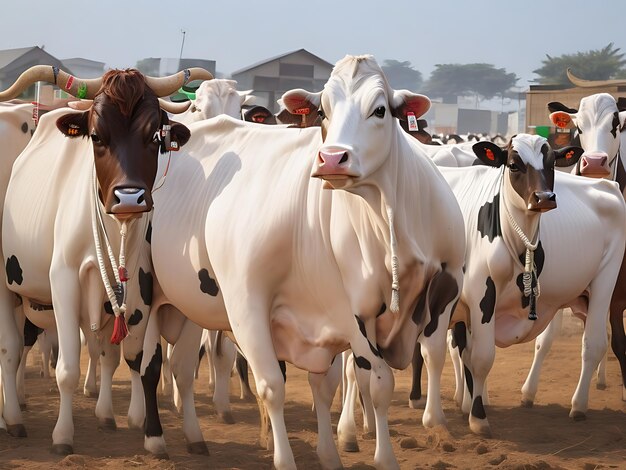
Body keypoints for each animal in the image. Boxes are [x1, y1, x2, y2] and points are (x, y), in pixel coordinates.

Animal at [144, 54, 460, 466]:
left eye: (379, 109)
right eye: (322, 111)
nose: (332, 158)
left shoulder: (429, 296)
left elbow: (348, 383)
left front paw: (336, 454)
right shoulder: (260, 307)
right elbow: (275, 386)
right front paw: (287, 457)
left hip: (186, 308)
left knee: (181, 368)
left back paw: (193, 437)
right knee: (148, 366)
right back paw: (151, 437)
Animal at [438, 134, 624, 436]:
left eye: (551, 163)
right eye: (514, 164)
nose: (544, 198)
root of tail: (607, 185)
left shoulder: (480, 300)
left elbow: (480, 357)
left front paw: (477, 417)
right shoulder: (475, 298)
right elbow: (470, 354)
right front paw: (472, 409)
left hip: (606, 280)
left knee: (594, 343)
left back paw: (578, 405)